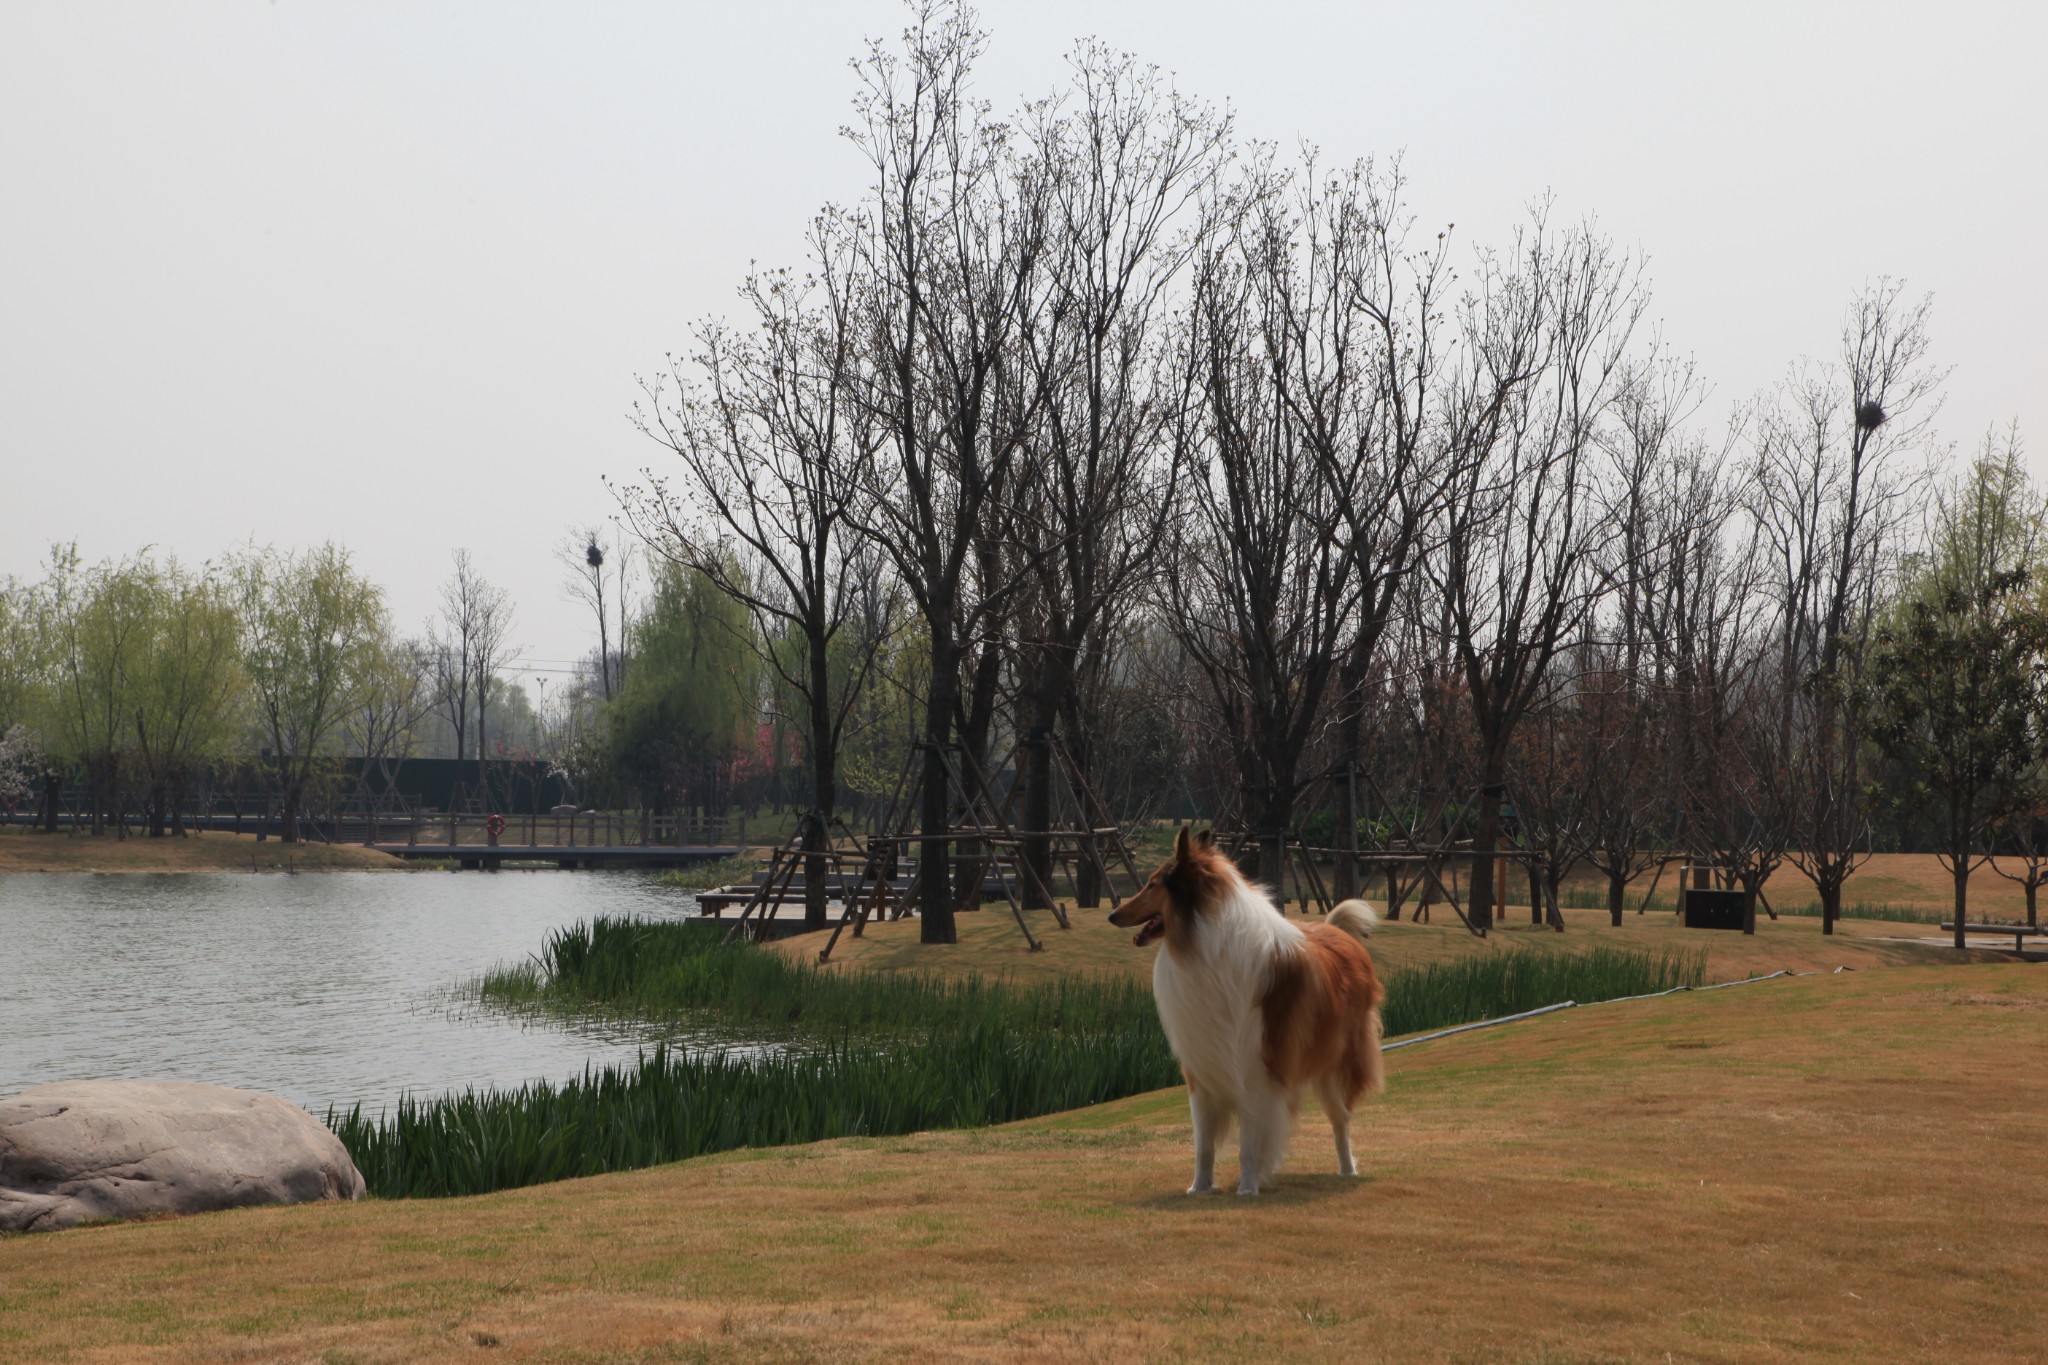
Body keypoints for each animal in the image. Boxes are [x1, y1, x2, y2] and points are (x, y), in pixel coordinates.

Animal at [1114, 822, 1384, 1195]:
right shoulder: (1202, 1069)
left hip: (1335, 1066)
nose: (1112, 915)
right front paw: (1199, 1188)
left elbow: (1249, 1142)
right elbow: (1203, 1144)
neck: (1203, 945)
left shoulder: (1257, 1068)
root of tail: (1338, 932)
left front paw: (1247, 1188)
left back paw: (1348, 1170)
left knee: (1341, 1121)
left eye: (1153, 884)